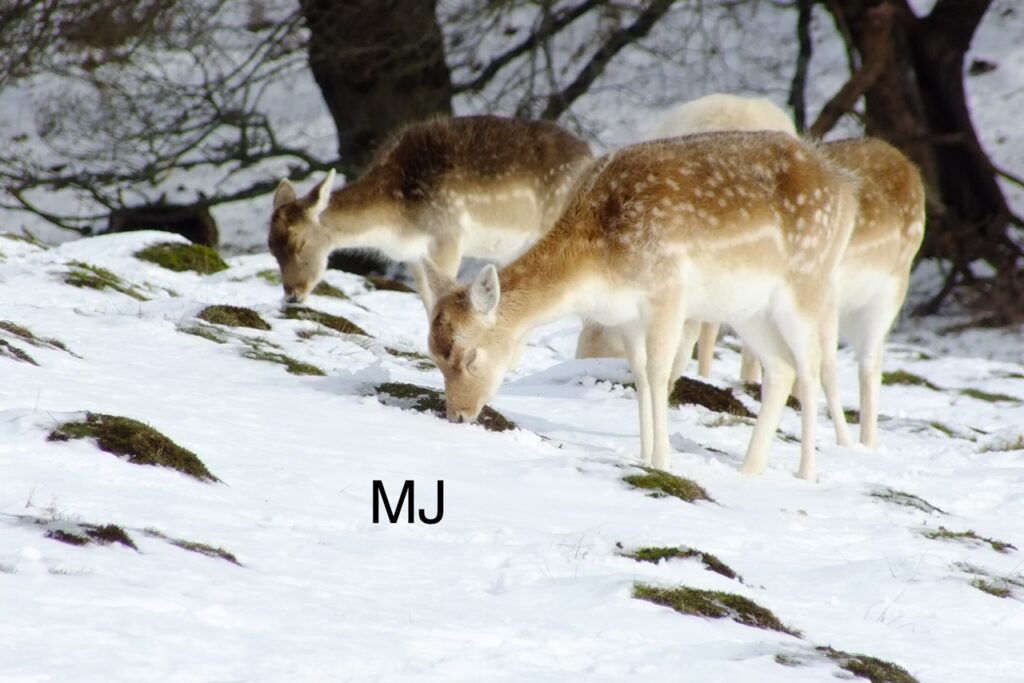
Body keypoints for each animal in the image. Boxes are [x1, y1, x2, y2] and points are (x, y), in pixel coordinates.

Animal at [268, 115, 593, 309]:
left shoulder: (448, 234)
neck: (397, 222)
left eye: (301, 243)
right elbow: (427, 300)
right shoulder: (414, 255)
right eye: (272, 249)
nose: (292, 295)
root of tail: (591, 155)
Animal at [422, 131, 858, 481]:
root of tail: (845, 189)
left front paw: (664, 461)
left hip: (808, 282)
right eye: (435, 357)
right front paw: (644, 455)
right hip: (750, 309)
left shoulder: (667, 292)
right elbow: (640, 375)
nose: (457, 415)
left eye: (470, 356)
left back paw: (807, 473)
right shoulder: (627, 317)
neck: (599, 266)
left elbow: (661, 372)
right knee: (782, 368)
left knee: (811, 368)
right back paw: (750, 469)